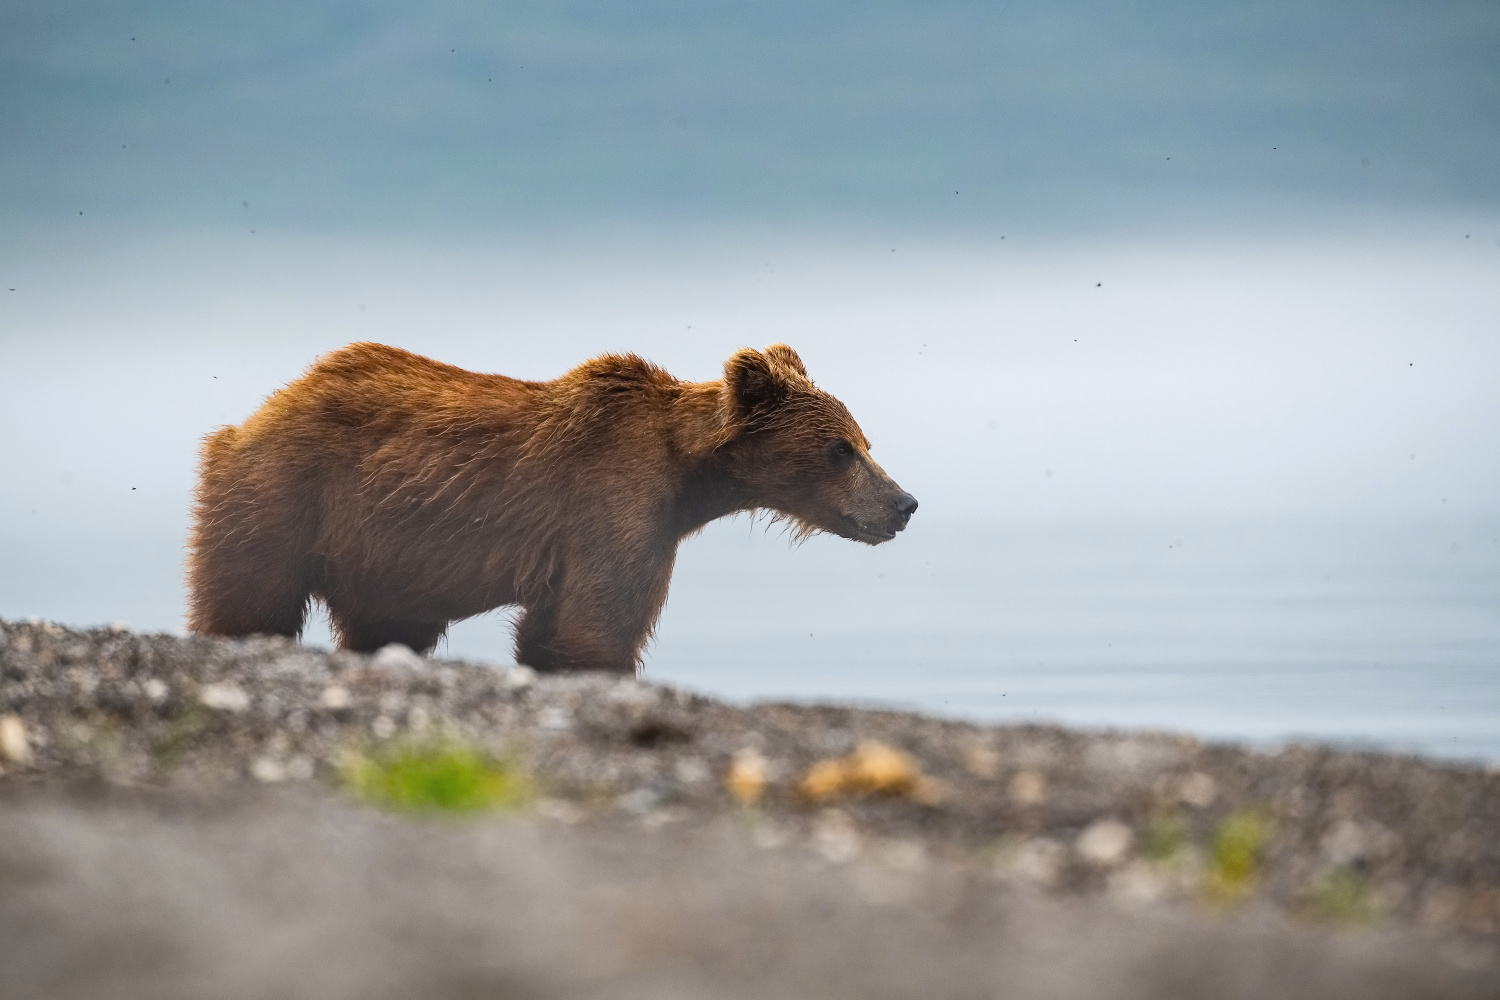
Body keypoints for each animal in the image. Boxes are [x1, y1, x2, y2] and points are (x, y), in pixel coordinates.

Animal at [184, 340, 912, 677]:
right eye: (841, 448)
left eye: (865, 441)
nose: (904, 503)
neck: (689, 478)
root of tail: (266, 408)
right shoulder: (613, 499)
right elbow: (598, 625)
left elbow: (552, 630)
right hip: (286, 494)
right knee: (252, 600)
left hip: (376, 555)